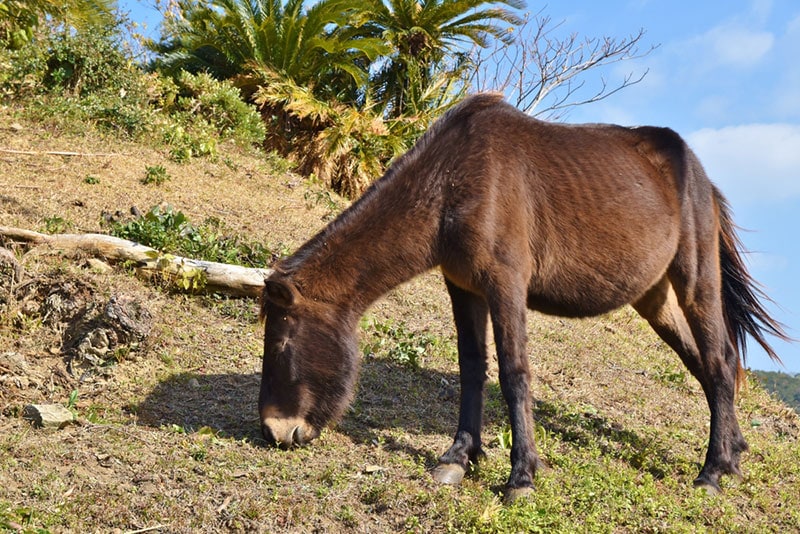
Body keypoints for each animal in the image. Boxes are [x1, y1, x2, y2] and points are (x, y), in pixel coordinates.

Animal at [258, 93, 788, 502]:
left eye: (281, 344)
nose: (272, 430)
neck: (453, 181)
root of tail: (698, 173)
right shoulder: (463, 287)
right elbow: (472, 367)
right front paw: (458, 456)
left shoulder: (505, 285)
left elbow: (514, 374)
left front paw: (521, 478)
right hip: (654, 298)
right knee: (707, 364)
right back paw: (734, 452)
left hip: (695, 280)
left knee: (719, 362)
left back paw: (713, 471)